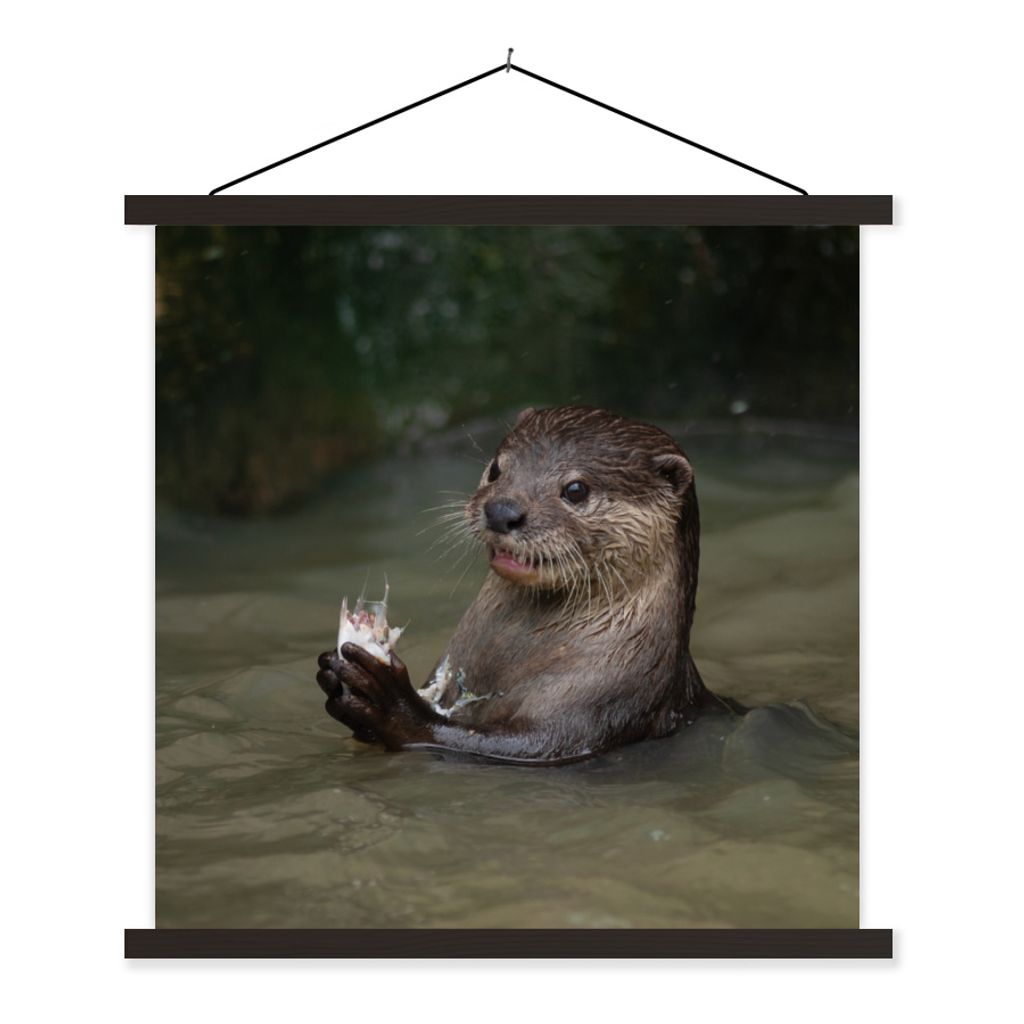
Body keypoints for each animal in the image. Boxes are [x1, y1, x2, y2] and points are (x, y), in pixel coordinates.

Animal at [316, 406, 726, 764]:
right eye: (497, 469)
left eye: (576, 490)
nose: (502, 511)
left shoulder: (606, 702)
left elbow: (514, 744)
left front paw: (392, 703)